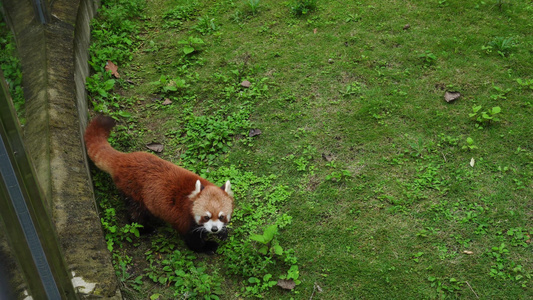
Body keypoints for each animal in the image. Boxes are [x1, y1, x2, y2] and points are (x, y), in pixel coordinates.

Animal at [84, 115, 234, 253]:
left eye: (221, 216)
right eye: (206, 217)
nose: (214, 229)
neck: (190, 198)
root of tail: (123, 158)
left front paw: (222, 232)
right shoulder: (184, 218)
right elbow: (193, 241)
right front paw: (207, 246)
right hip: (134, 191)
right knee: (136, 213)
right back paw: (145, 228)